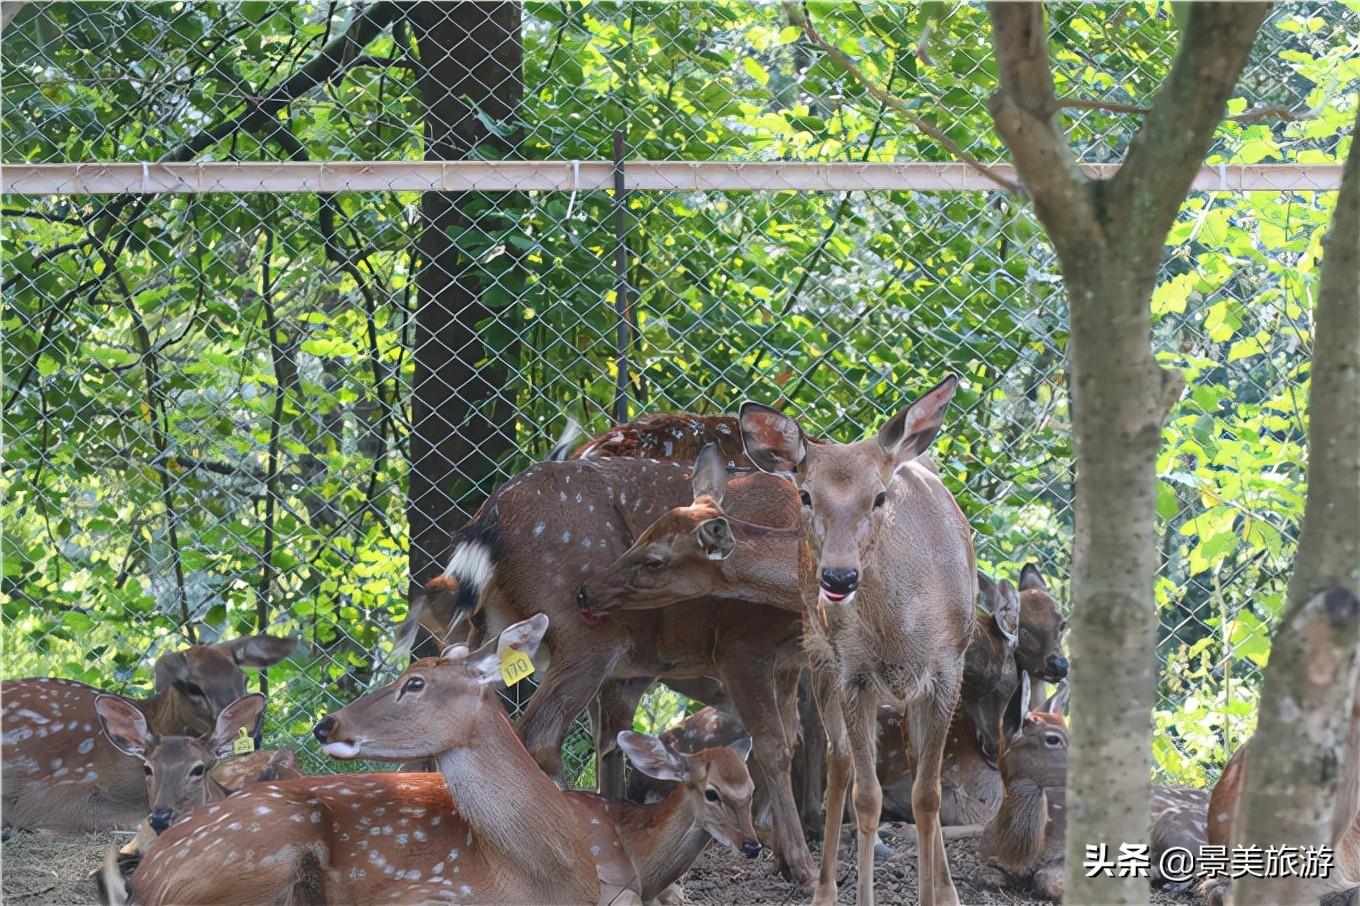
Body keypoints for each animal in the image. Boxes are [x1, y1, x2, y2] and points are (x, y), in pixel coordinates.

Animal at [734, 375, 979, 903]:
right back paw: (824, 887)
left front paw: (937, 895)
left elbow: (927, 795)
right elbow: (867, 798)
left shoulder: (950, 666)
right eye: (806, 495)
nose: (839, 576)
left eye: (880, 497)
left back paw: (946, 887)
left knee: (912, 765)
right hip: (818, 651)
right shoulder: (854, 673)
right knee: (839, 760)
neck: (901, 634)